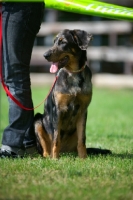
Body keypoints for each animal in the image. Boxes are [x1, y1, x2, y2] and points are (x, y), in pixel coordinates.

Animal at [34, 28, 111, 159]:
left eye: (63, 42)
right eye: (54, 42)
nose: (45, 55)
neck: (73, 73)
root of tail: (65, 152)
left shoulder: (83, 110)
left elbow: (82, 139)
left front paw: (83, 159)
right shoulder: (58, 110)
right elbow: (56, 138)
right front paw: (55, 159)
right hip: (38, 121)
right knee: (46, 149)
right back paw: (49, 156)